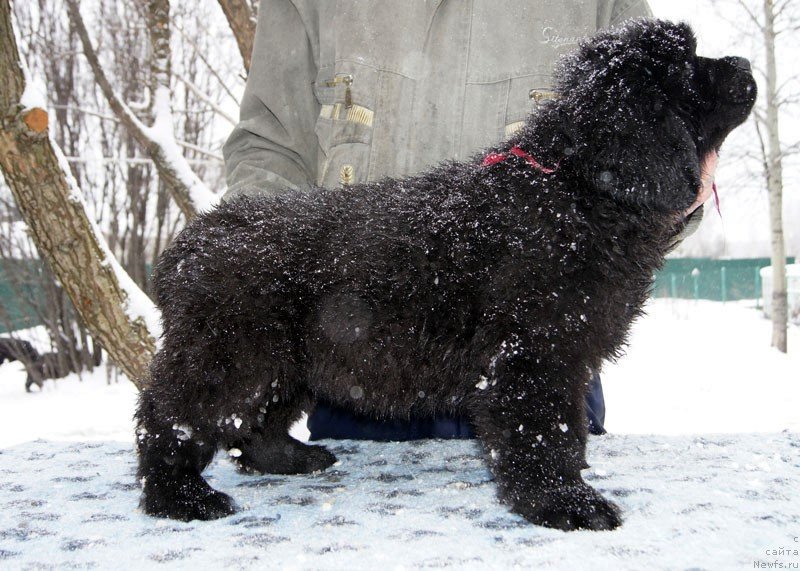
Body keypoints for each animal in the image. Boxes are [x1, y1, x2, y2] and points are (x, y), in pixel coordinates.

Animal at [138, 22, 756, 532]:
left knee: (256, 422)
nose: (746, 64)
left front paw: (574, 476)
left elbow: (567, 425)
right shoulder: (532, 351)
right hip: (231, 352)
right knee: (168, 418)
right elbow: (542, 429)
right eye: (690, 65)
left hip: (283, 359)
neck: (574, 190)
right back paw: (180, 498)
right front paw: (565, 503)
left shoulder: (566, 349)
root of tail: (189, 244)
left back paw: (290, 458)